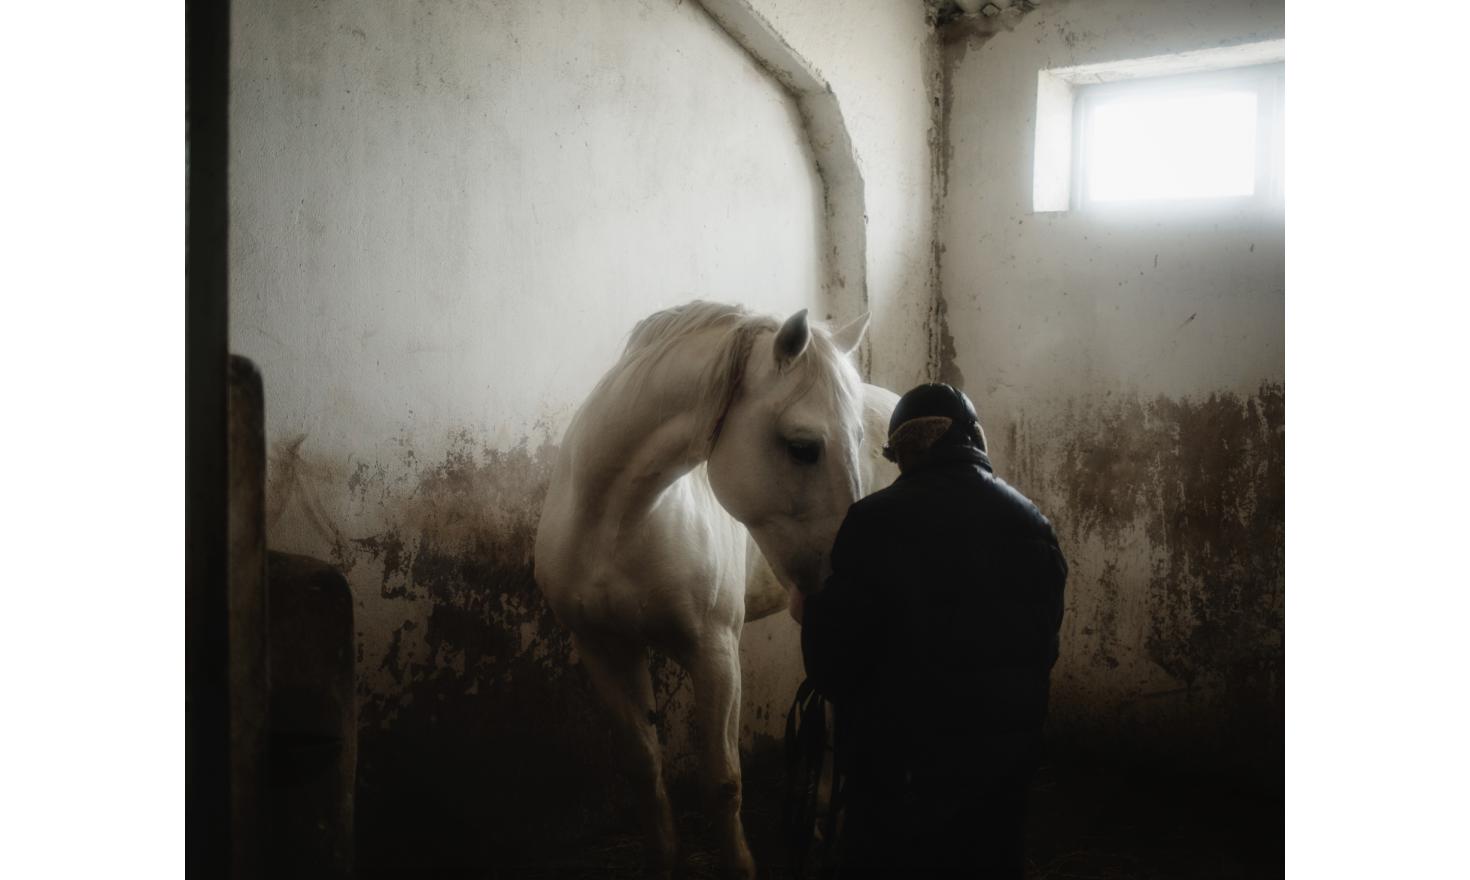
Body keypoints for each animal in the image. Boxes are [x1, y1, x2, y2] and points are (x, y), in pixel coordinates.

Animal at [534, 301, 897, 877]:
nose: (847, 577)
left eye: (859, 442)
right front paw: (664, 861)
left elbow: (724, 782)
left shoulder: (714, 652)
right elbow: (644, 768)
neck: (614, 525)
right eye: (803, 448)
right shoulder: (604, 649)